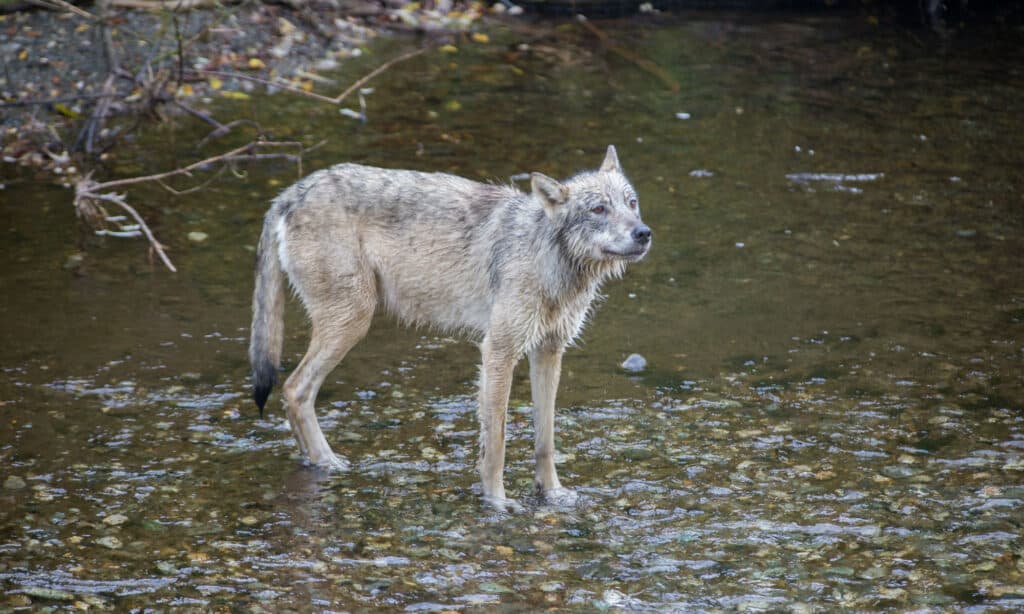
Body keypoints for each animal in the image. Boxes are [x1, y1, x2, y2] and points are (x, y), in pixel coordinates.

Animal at [247, 145, 647, 507]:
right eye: (599, 209)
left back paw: (315, 461)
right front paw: (497, 502)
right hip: (353, 321)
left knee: (293, 393)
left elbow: (545, 439)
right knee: (295, 390)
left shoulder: (548, 353)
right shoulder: (498, 351)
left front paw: (551, 494)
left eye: (631, 203)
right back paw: (328, 461)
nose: (644, 233)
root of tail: (291, 193)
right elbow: (497, 441)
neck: (547, 256)